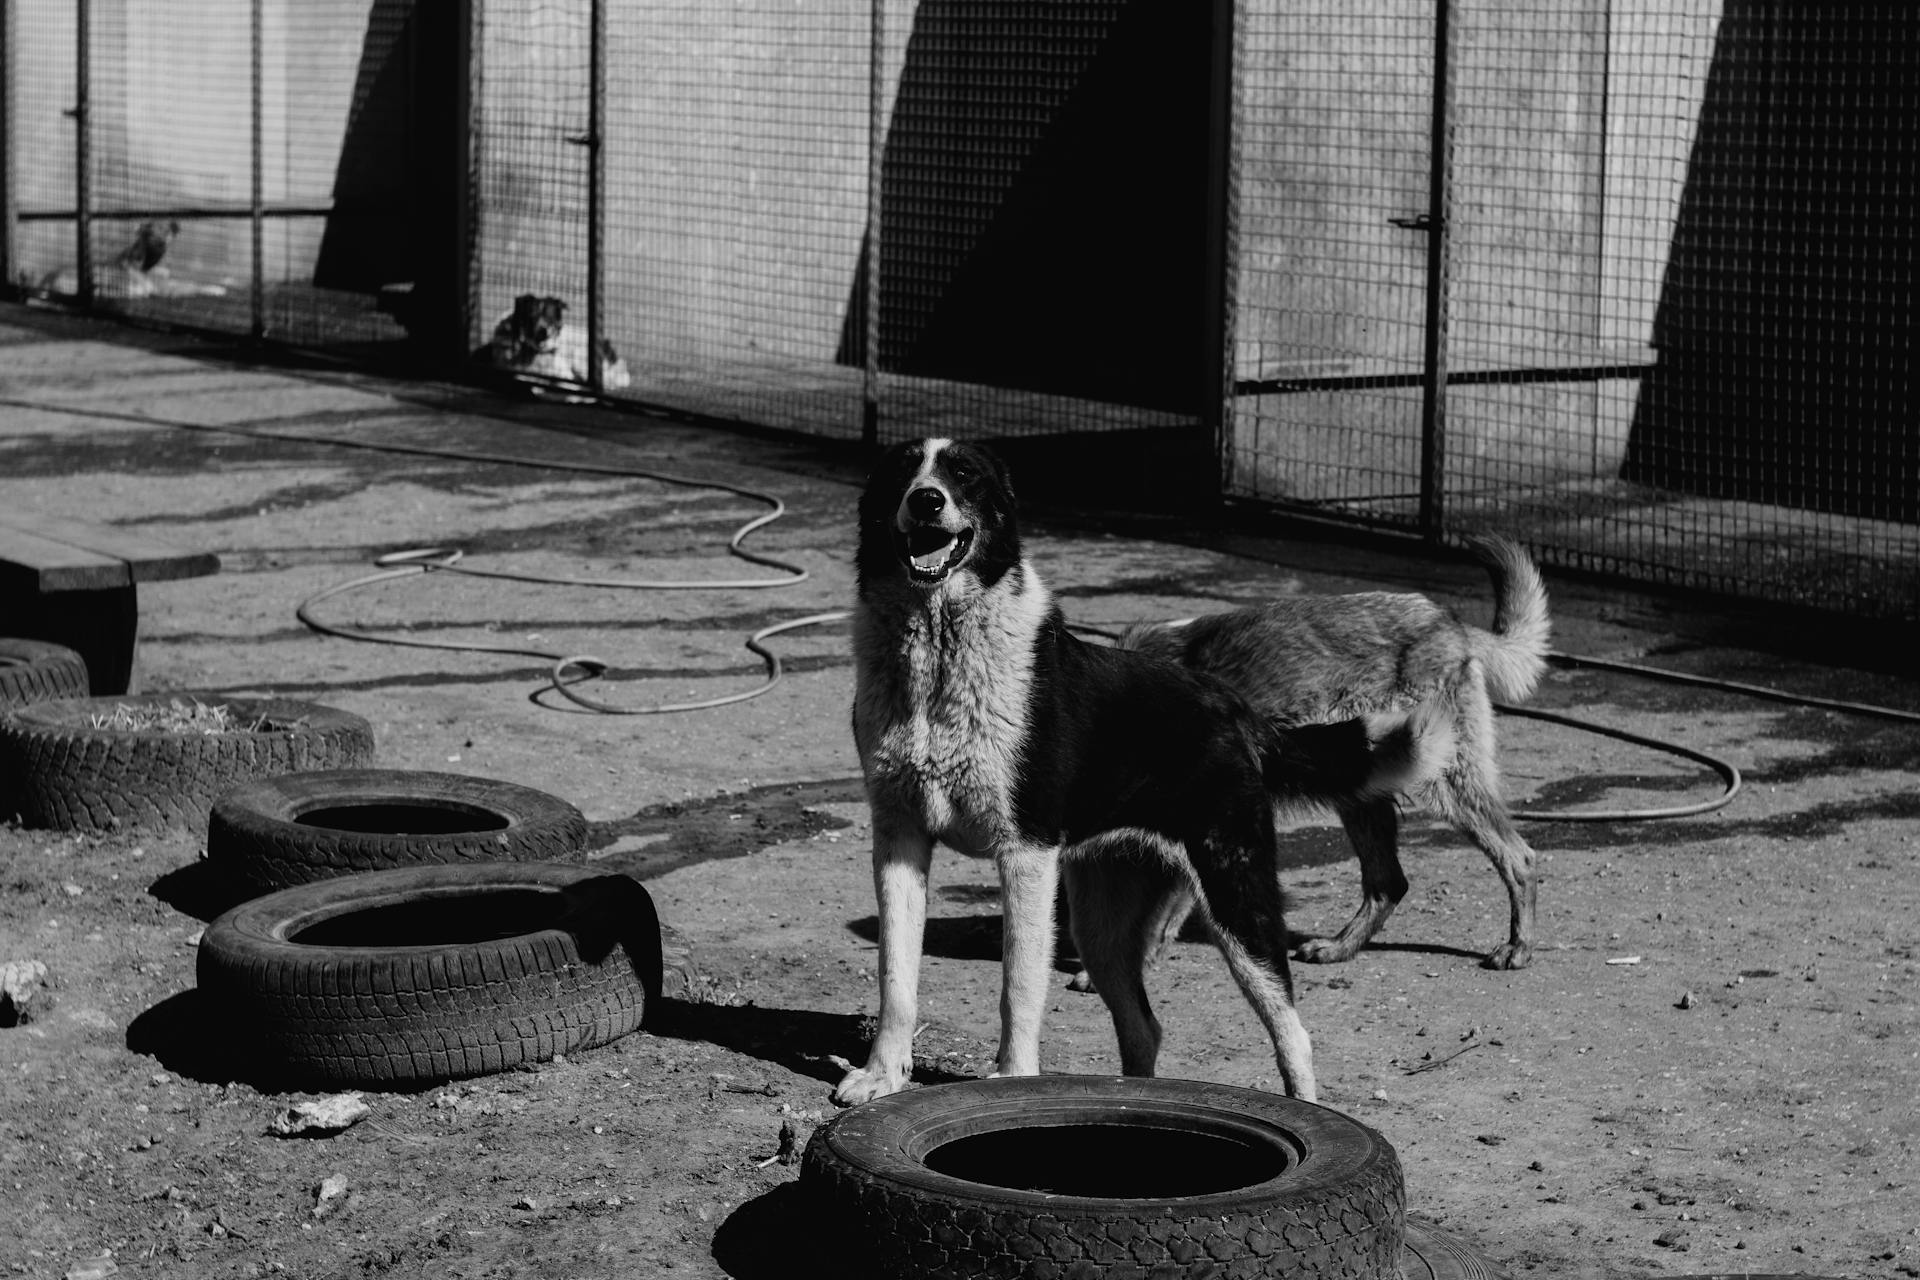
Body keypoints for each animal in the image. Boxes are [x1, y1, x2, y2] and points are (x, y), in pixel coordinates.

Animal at [833, 435, 1443, 1105]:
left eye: (963, 473)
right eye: (903, 472)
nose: (927, 500)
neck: (940, 649)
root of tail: (1236, 709)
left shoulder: (1024, 854)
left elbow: (1018, 988)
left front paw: (1012, 1083)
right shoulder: (899, 841)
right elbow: (896, 977)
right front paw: (882, 1076)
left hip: (1237, 900)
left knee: (1293, 1032)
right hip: (1102, 926)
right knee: (1144, 1028)